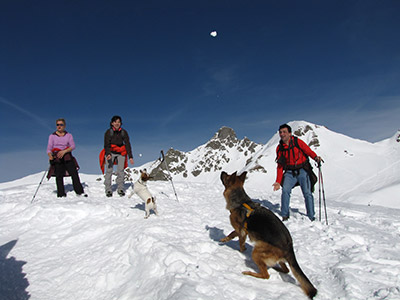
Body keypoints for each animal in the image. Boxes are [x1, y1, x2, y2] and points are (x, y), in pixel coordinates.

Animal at [220, 170, 318, 298]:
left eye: (227, 176)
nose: (222, 171)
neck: (240, 201)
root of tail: (289, 246)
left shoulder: (240, 229)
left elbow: (234, 235)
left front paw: (227, 241)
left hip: (257, 252)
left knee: (266, 275)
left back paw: (250, 272)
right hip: (275, 257)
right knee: (285, 269)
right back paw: (275, 267)